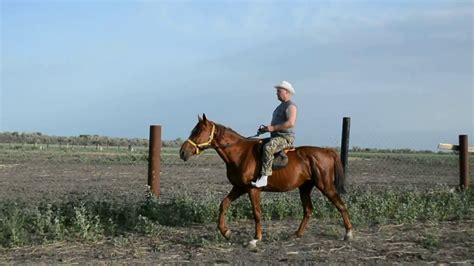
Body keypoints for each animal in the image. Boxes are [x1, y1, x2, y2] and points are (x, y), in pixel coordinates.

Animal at [179, 113, 352, 246]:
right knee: (308, 210)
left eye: (198, 131)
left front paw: (255, 239)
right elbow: (224, 204)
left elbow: (256, 212)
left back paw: (348, 233)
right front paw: (226, 232)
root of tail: (327, 151)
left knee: (341, 205)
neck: (240, 153)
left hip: (326, 186)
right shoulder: (239, 188)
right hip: (305, 188)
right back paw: (296, 234)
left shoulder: (253, 189)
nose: (182, 152)